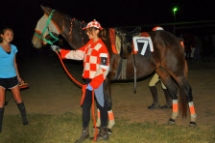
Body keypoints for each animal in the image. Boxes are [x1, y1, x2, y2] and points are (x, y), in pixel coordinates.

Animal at [31, 5, 197, 127]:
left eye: (42, 22)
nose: (34, 42)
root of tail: (176, 39)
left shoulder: (105, 81)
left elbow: (106, 102)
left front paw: (108, 126)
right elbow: (99, 103)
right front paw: (99, 125)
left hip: (177, 71)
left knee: (187, 90)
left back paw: (193, 121)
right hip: (162, 70)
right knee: (173, 90)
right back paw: (172, 118)